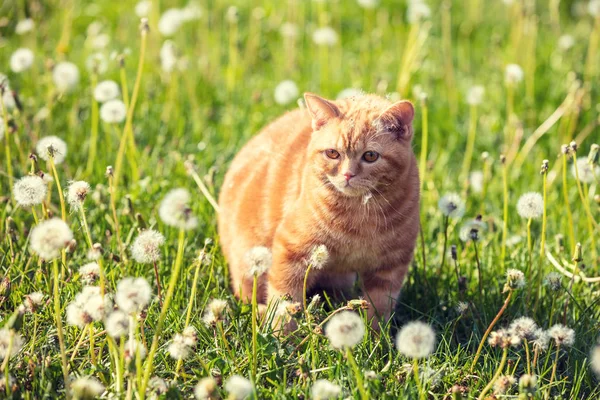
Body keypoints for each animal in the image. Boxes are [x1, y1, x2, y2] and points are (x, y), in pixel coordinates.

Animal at [218, 92, 420, 326]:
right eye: (332, 153)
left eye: (370, 156)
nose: (348, 175)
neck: (359, 214)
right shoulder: (291, 249)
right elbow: (284, 302)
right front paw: (281, 332)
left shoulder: (391, 265)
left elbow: (378, 309)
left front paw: (373, 334)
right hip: (250, 265)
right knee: (246, 297)